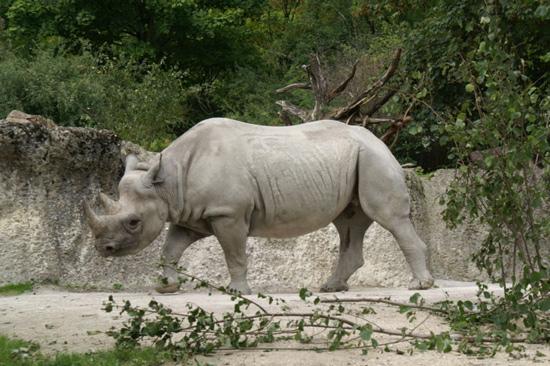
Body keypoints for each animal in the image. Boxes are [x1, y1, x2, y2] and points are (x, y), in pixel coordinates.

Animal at [84, 118, 436, 294]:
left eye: (133, 222)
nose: (103, 249)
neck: (169, 182)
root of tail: (381, 140)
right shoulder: (190, 214)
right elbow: (170, 249)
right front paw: (167, 288)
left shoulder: (227, 212)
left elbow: (234, 254)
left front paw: (238, 292)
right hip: (357, 160)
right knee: (349, 222)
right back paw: (331, 288)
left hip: (374, 158)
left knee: (388, 218)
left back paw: (421, 286)